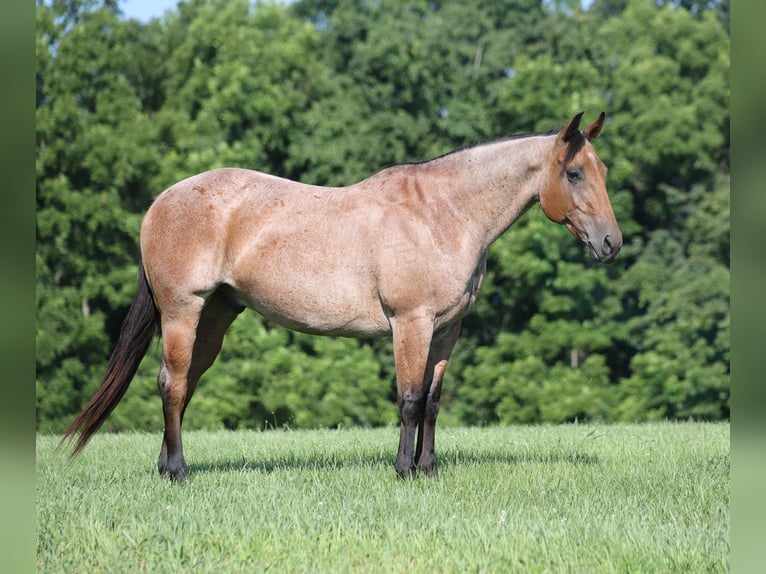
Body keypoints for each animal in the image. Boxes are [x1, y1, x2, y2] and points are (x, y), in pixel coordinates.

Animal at [60, 112, 622, 482]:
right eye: (574, 173)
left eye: (603, 173)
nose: (611, 244)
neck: (442, 213)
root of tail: (160, 201)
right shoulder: (410, 323)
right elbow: (410, 399)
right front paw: (404, 472)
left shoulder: (447, 329)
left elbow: (434, 401)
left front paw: (429, 469)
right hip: (182, 311)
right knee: (172, 384)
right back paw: (178, 472)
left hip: (215, 316)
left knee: (183, 383)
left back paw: (165, 465)